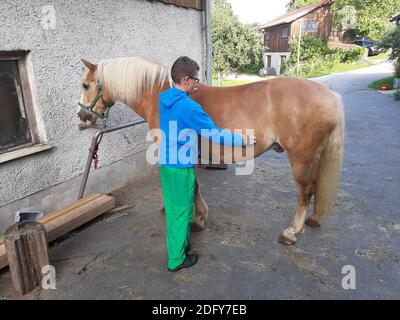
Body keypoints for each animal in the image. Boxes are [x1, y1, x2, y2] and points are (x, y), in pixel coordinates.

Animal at [77, 56, 344, 245]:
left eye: (86, 85)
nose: (82, 116)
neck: (164, 97)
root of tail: (330, 95)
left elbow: (192, 186)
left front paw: (196, 219)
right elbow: (193, 184)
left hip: (301, 157)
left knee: (305, 192)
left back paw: (291, 232)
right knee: (315, 188)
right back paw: (312, 220)